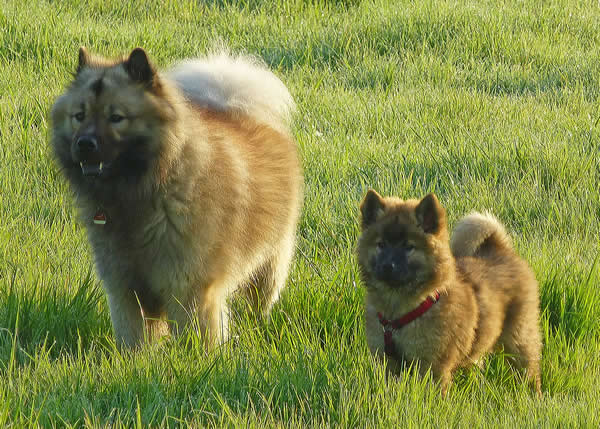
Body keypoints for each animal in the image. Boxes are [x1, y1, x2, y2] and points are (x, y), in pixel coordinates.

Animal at [51, 47, 302, 348]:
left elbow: (197, 337)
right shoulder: (125, 288)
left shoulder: (190, 288)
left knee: (261, 300)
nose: (85, 144)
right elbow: (133, 340)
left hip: (270, 260)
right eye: (79, 115)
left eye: (117, 117)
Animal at [358, 191, 540, 394]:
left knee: (529, 369)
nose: (387, 266)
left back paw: (534, 394)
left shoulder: (432, 366)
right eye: (381, 244)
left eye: (409, 246)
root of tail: (500, 248)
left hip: (519, 338)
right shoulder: (386, 361)